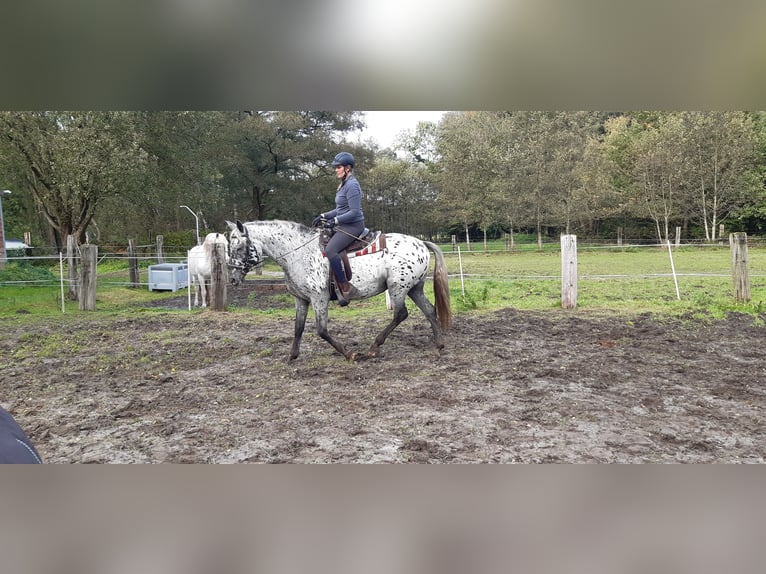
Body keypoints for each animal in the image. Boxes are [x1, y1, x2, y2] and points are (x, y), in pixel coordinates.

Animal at [225, 218, 452, 362]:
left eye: (238, 248)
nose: (233, 278)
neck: (298, 254)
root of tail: (420, 242)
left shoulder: (319, 298)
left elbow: (322, 331)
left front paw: (349, 354)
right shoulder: (301, 299)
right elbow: (298, 328)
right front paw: (291, 356)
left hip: (398, 287)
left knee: (400, 314)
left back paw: (374, 347)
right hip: (415, 288)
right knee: (429, 310)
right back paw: (439, 344)